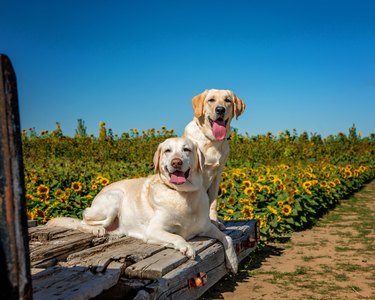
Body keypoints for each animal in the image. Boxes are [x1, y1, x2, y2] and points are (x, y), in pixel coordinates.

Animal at [47, 137, 238, 274]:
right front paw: (186, 247)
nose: (176, 162)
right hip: (114, 199)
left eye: (187, 149)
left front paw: (233, 262)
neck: (183, 194)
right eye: (168, 150)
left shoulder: (206, 227)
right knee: (83, 222)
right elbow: (177, 237)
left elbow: (227, 238)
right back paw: (97, 230)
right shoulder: (154, 231)